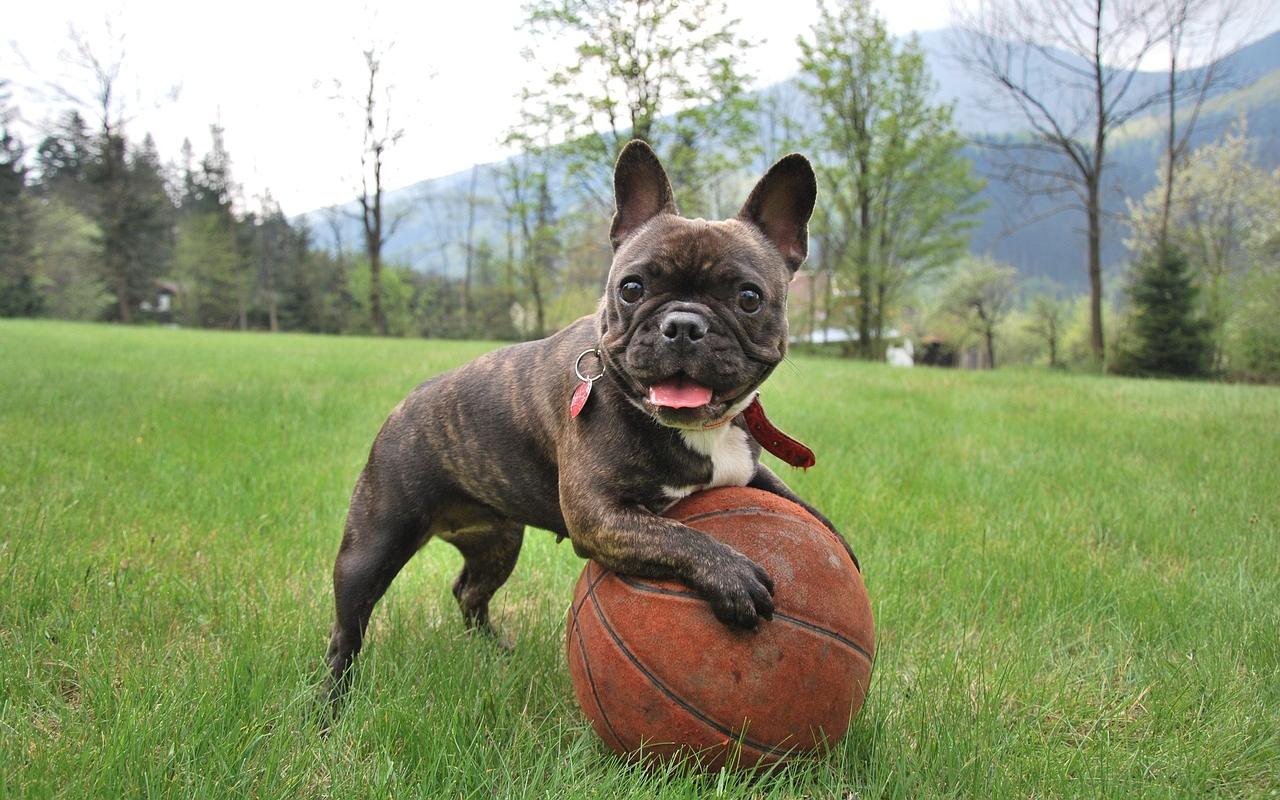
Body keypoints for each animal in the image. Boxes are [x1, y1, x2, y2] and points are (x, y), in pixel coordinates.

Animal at [325, 138, 855, 696]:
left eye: (749, 297)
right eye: (632, 288)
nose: (683, 324)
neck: (695, 429)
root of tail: (404, 406)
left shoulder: (748, 469)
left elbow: (799, 504)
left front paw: (839, 545)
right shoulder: (600, 515)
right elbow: (677, 535)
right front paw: (732, 575)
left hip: (498, 541)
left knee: (469, 591)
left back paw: (493, 651)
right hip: (373, 544)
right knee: (347, 629)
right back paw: (331, 703)